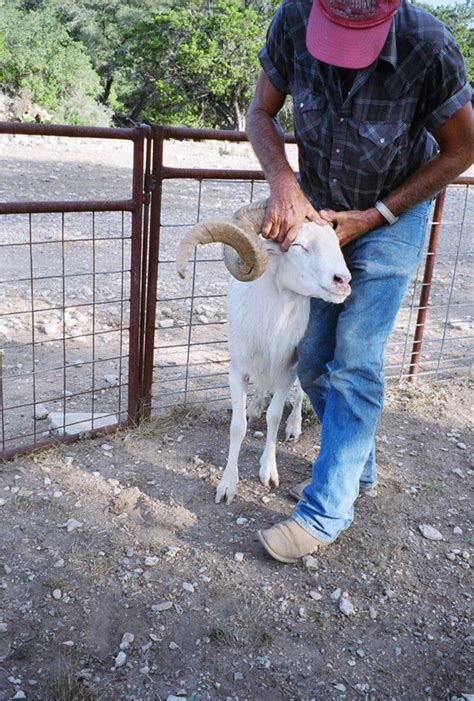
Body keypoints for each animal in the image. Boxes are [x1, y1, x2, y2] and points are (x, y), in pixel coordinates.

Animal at [176, 200, 350, 500]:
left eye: (335, 242)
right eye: (298, 245)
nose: (343, 280)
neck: (271, 331)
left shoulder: (285, 373)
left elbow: (274, 417)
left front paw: (268, 473)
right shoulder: (237, 372)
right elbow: (238, 427)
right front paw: (227, 487)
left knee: (301, 392)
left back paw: (293, 428)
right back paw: (255, 406)